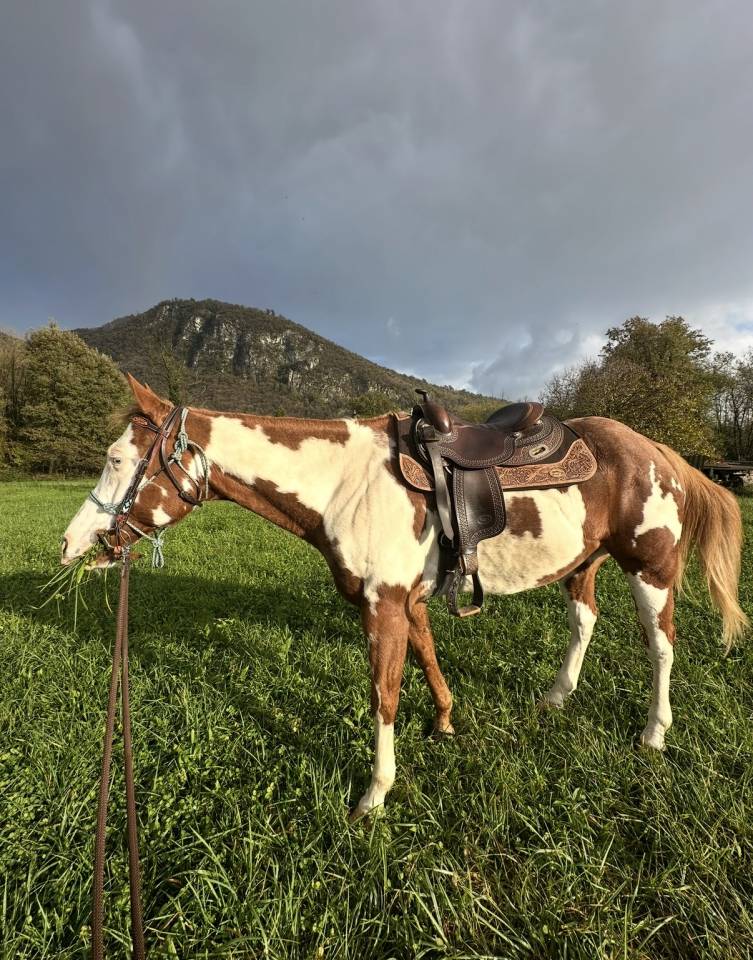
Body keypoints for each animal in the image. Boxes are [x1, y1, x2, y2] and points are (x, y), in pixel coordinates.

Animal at [62, 375, 747, 821]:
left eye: (118, 459)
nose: (72, 544)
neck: (345, 482)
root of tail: (657, 451)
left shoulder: (384, 606)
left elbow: (384, 695)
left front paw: (375, 793)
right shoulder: (407, 602)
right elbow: (427, 659)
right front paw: (444, 721)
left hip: (650, 568)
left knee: (661, 646)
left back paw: (654, 733)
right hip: (585, 563)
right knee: (585, 622)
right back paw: (557, 697)